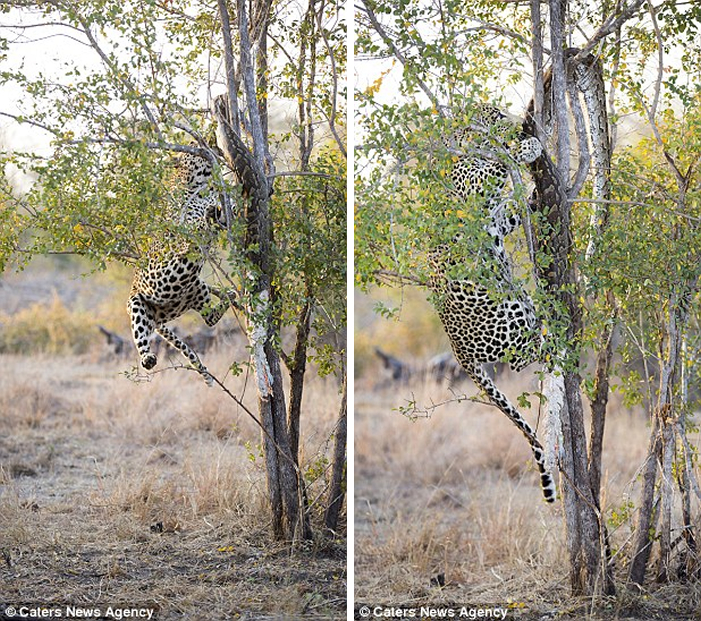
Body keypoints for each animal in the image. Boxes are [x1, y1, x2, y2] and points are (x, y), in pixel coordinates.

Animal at [124, 148, 237, 386]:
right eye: (193, 148)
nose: (210, 147)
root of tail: (160, 317)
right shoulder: (181, 230)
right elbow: (195, 226)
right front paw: (210, 216)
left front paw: (225, 208)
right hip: (138, 303)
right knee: (140, 337)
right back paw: (147, 358)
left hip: (196, 286)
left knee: (209, 318)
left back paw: (229, 295)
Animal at [430, 104, 556, 502]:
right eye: (495, 114)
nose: (516, 121)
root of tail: (457, 353)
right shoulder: (473, 186)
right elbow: (497, 164)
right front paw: (527, 148)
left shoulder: (498, 221)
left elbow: (511, 211)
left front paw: (532, 194)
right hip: (505, 313)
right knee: (520, 359)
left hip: (517, 304)